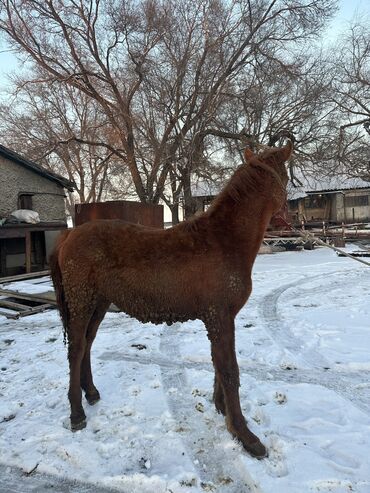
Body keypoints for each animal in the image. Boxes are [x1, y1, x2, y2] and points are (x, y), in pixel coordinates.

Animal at [49, 138, 292, 458]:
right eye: (286, 176)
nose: (287, 220)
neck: (224, 240)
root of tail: (69, 234)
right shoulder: (220, 316)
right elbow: (229, 370)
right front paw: (244, 434)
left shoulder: (219, 319)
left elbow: (219, 364)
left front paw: (221, 408)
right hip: (82, 302)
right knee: (76, 348)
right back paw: (77, 413)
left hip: (99, 303)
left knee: (87, 343)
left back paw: (91, 393)